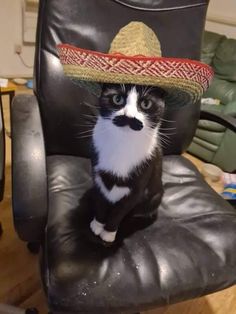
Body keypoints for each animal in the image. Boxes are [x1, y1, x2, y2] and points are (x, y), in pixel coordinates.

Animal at [89, 83, 165, 243]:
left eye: (146, 104)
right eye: (117, 99)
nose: (129, 117)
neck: (122, 145)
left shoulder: (137, 188)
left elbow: (120, 211)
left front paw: (109, 233)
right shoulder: (97, 178)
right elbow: (100, 201)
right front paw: (97, 225)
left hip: (156, 196)